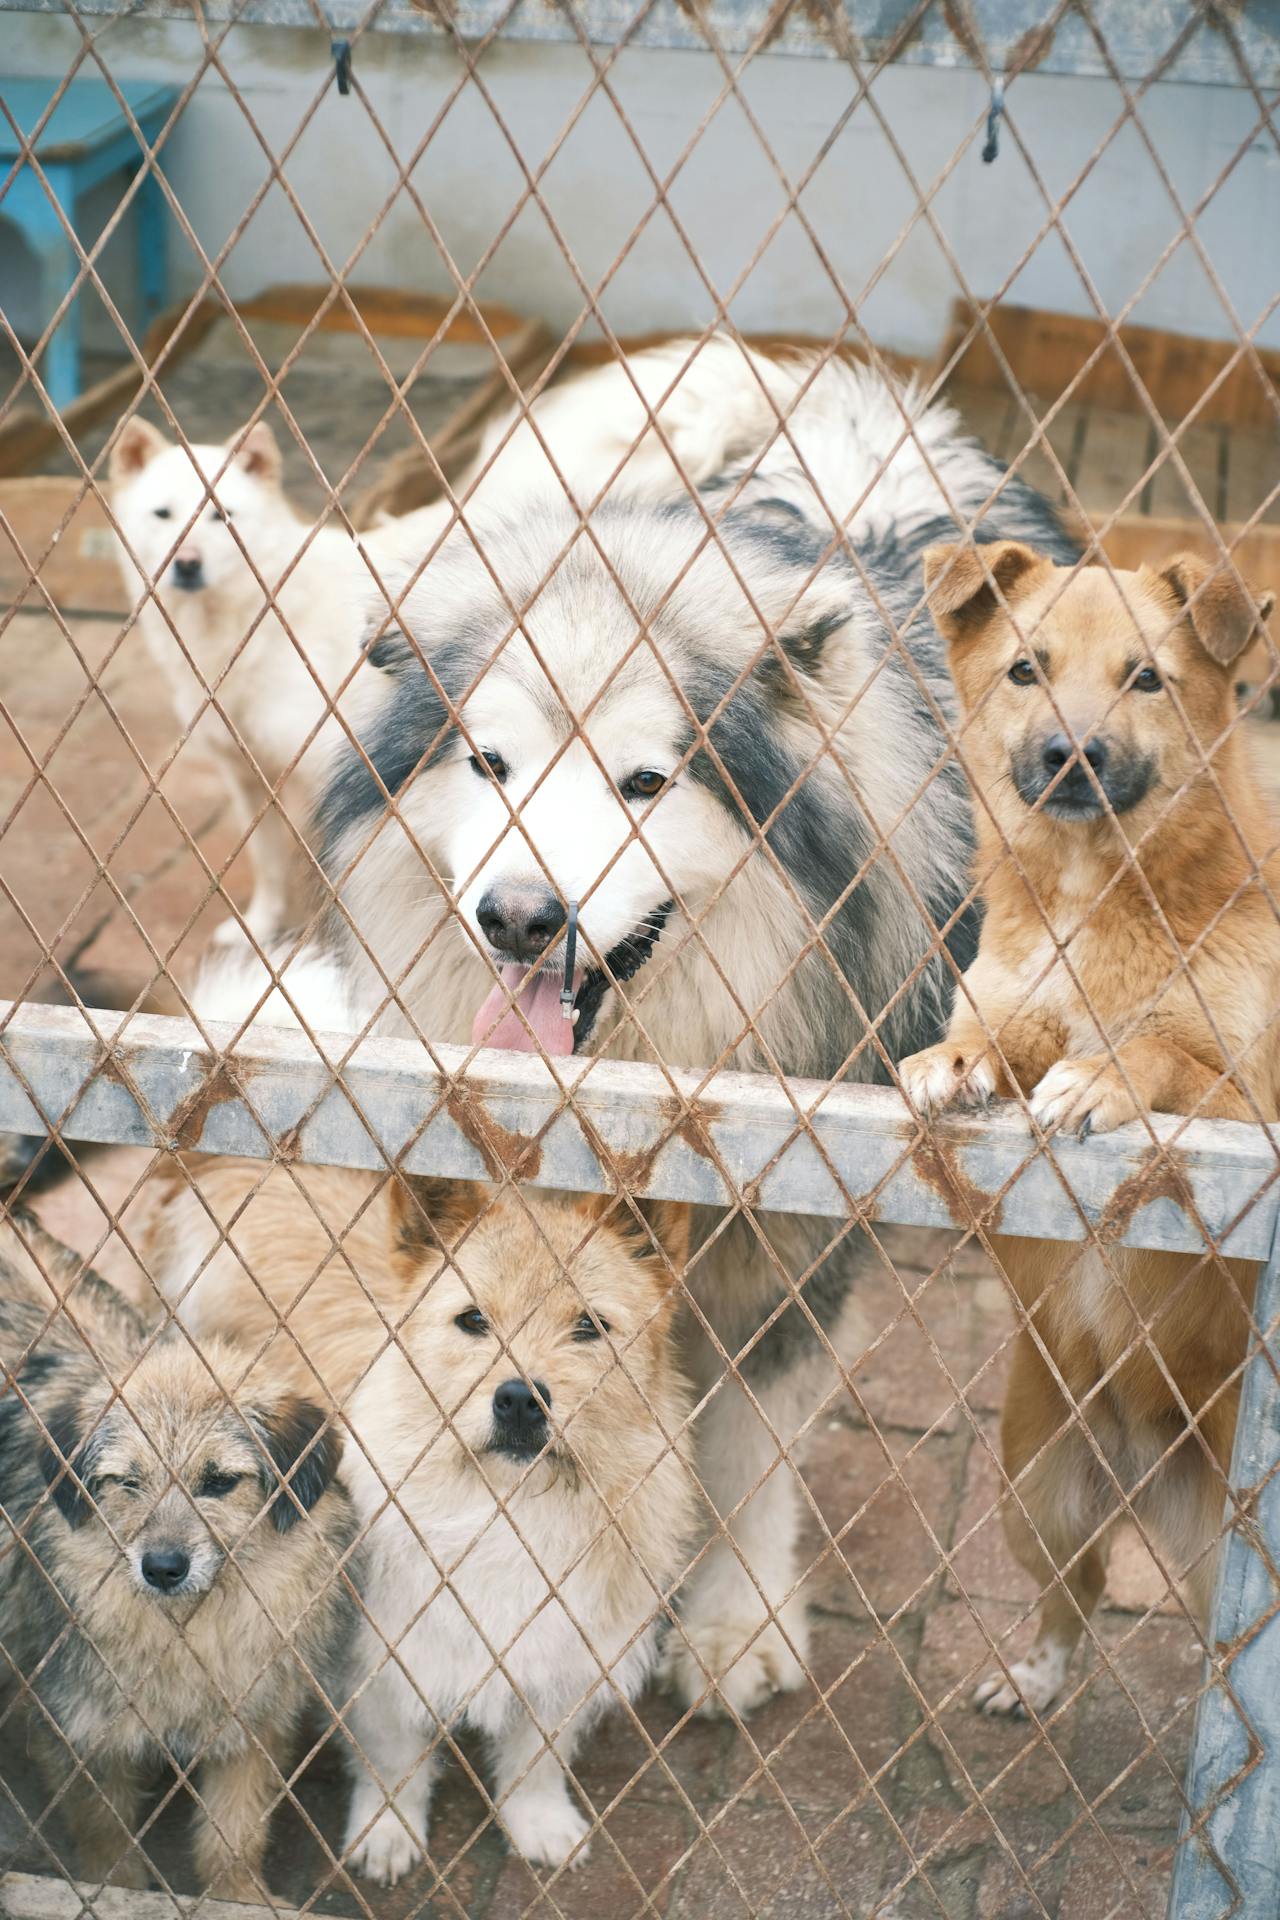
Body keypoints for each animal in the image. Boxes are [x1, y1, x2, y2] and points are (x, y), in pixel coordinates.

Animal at [312, 337, 1082, 1720]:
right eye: (490, 764)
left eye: (643, 782)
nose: (518, 918)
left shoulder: (794, 1224)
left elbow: (749, 1440)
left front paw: (729, 1621)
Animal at [901, 549, 1280, 1720]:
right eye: (1027, 668)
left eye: (1145, 678)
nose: (1072, 752)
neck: (1087, 900)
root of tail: (1141, 1451)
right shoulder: (1013, 1000)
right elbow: (998, 1030)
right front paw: (956, 1061)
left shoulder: (1247, 1105)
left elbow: (1158, 1053)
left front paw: (1100, 1077)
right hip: (1034, 1494)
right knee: (1075, 1592)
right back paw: (1030, 1677)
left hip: (1227, 1562)